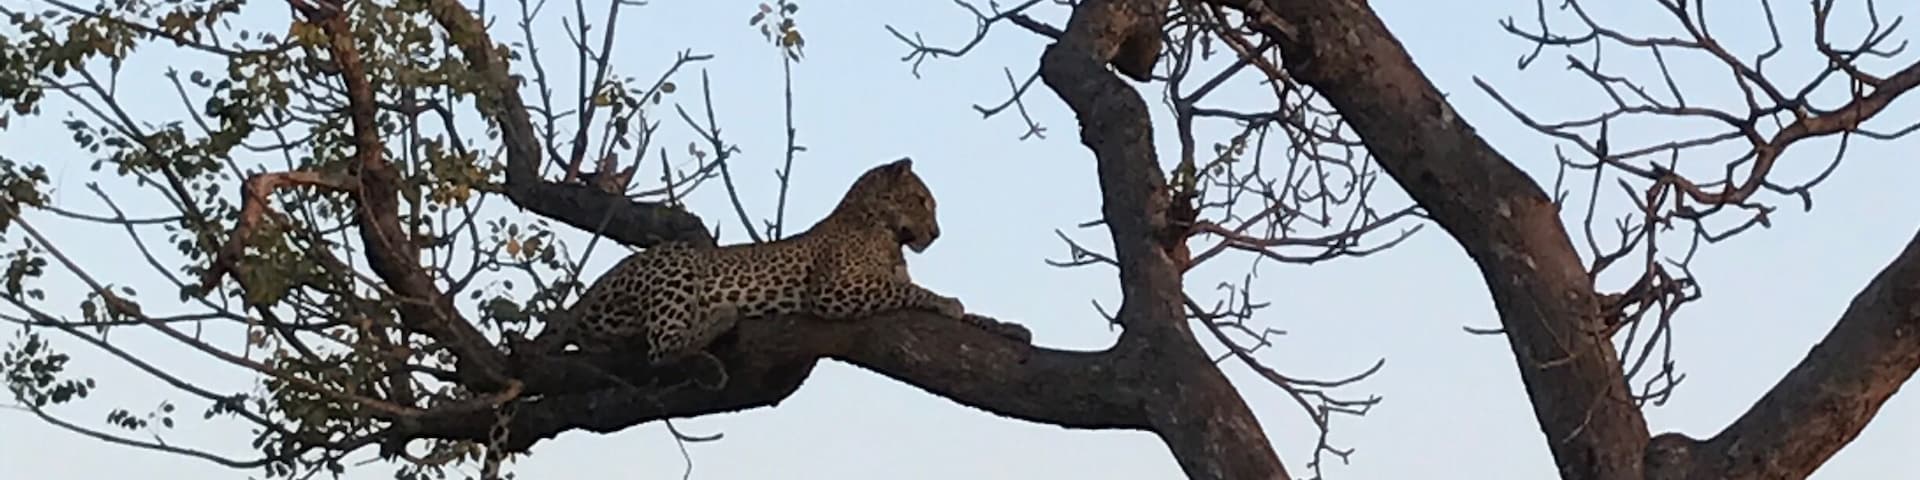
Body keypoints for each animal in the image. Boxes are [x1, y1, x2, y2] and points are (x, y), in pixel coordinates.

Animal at [542, 158, 1027, 385]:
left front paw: (1009, 327)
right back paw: (721, 319)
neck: (885, 233)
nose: (937, 233)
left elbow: (971, 314)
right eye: (923, 201)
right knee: (662, 346)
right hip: (678, 262)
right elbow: (909, 291)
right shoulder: (835, 288)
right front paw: (947, 302)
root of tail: (589, 292)